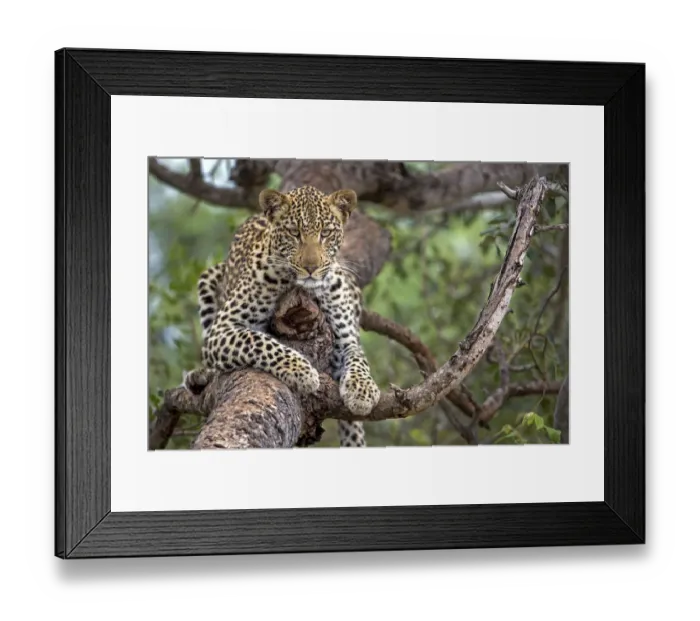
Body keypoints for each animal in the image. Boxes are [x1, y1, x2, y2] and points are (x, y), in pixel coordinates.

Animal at [185, 185, 381, 448]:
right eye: (294, 233)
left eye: (326, 233)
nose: (311, 267)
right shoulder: (222, 329)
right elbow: (259, 341)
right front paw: (302, 372)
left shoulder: (345, 340)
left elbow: (358, 358)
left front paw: (363, 390)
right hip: (209, 277)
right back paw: (201, 375)